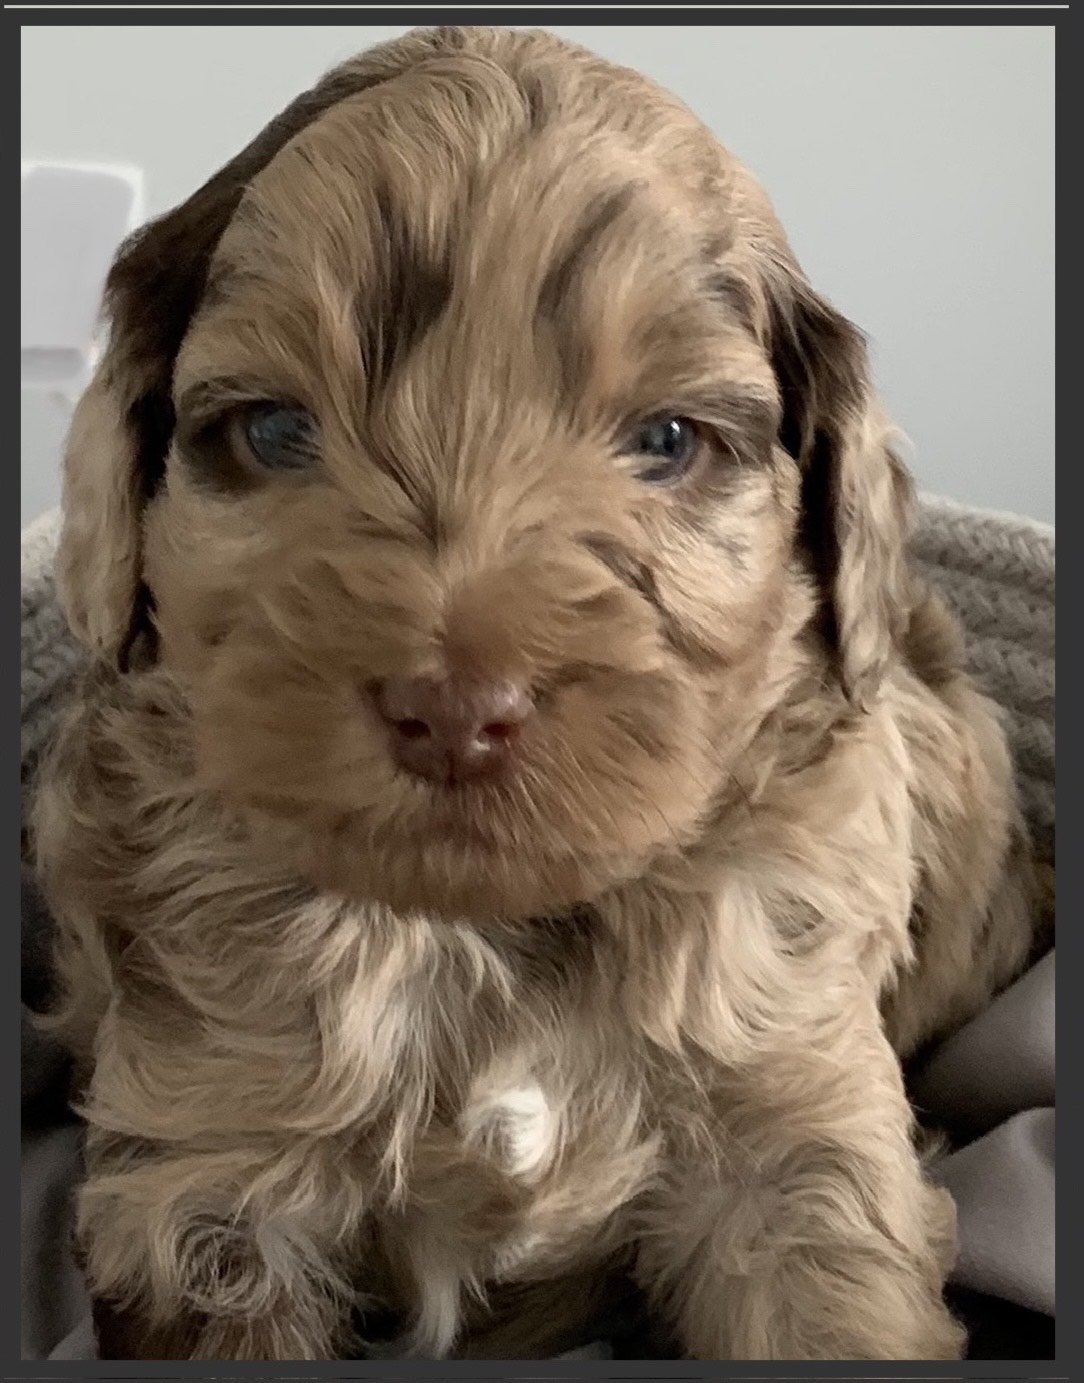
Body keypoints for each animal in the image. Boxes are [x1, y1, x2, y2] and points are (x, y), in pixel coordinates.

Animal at [35, 21, 1039, 1360]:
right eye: (275, 433)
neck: (481, 937)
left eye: (667, 441)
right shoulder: (204, 1180)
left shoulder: (796, 1144)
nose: (455, 710)